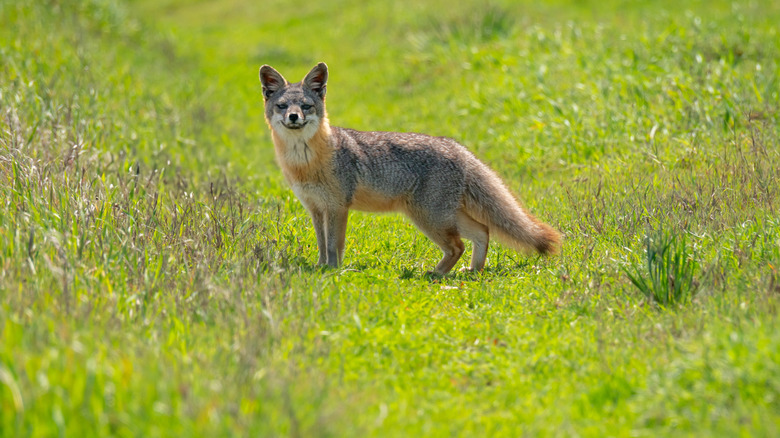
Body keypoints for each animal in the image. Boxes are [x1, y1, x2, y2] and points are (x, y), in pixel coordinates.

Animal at [259, 62, 561, 275]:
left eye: (306, 106)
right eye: (282, 106)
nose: (294, 117)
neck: (305, 163)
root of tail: (455, 146)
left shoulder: (336, 207)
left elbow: (334, 246)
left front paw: (333, 271)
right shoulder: (315, 207)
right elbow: (322, 245)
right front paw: (321, 267)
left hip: (429, 217)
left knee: (459, 245)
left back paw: (435, 274)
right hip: (443, 215)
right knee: (483, 231)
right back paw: (473, 271)